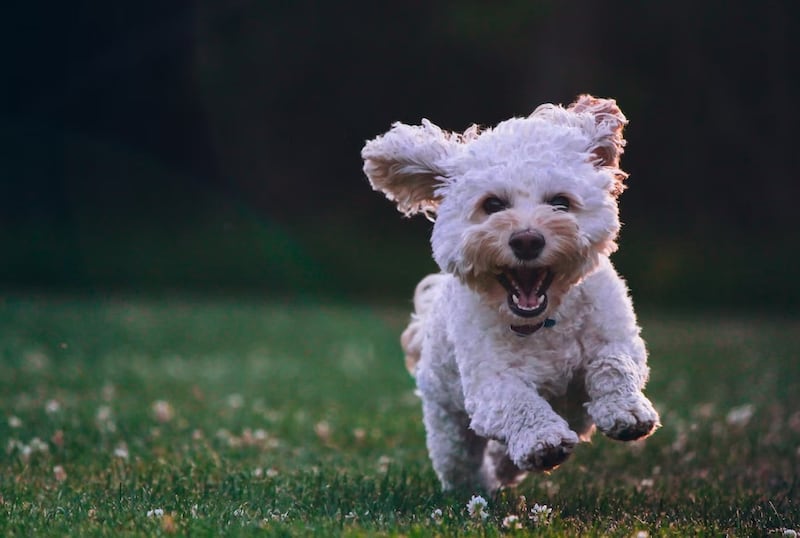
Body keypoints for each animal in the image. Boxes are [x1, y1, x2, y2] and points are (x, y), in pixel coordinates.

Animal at [360, 93, 656, 490]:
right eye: (492, 205)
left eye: (560, 202)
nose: (527, 240)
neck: (545, 322)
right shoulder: (490, 384)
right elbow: (518, 402)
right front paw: (543, 440)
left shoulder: (616, 336)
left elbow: (614, 364)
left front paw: (627, 411)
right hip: (447, 422)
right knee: (460, 461)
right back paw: (480, 485)